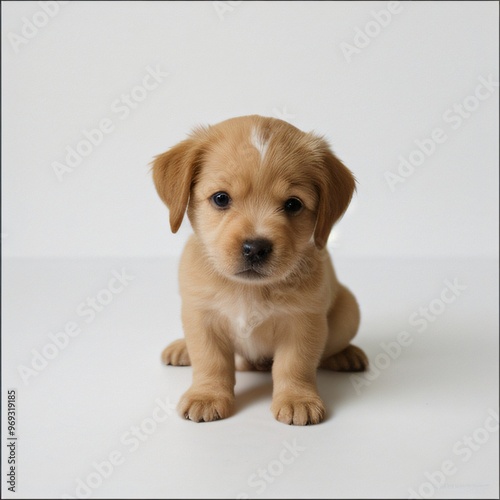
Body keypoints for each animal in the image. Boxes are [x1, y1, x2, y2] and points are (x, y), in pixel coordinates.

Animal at [154, 115, 370, 424]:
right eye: (221, 198)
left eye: (293, 204)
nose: (255, 248)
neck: (248, 290)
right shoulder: (201, 316)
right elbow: (210, 361)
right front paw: (206, 395)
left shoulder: (303, 322)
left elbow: (294, 365)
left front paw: (297, 398)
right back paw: (181, 347)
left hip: (349, 310)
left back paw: (345, 354)